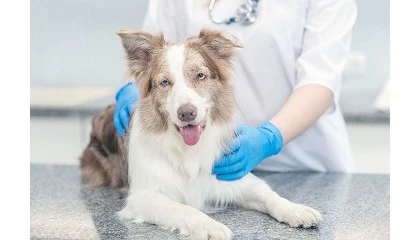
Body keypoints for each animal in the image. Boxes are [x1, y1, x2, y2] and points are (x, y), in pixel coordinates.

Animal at [79, 28, 322, 240]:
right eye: (164, 82)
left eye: (200, 75)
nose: (186, 113)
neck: (187, 150)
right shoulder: (143, 196)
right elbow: (184, 209)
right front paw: (210, 225)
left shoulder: (235, 177)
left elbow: (269, 194)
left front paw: (296, 210)